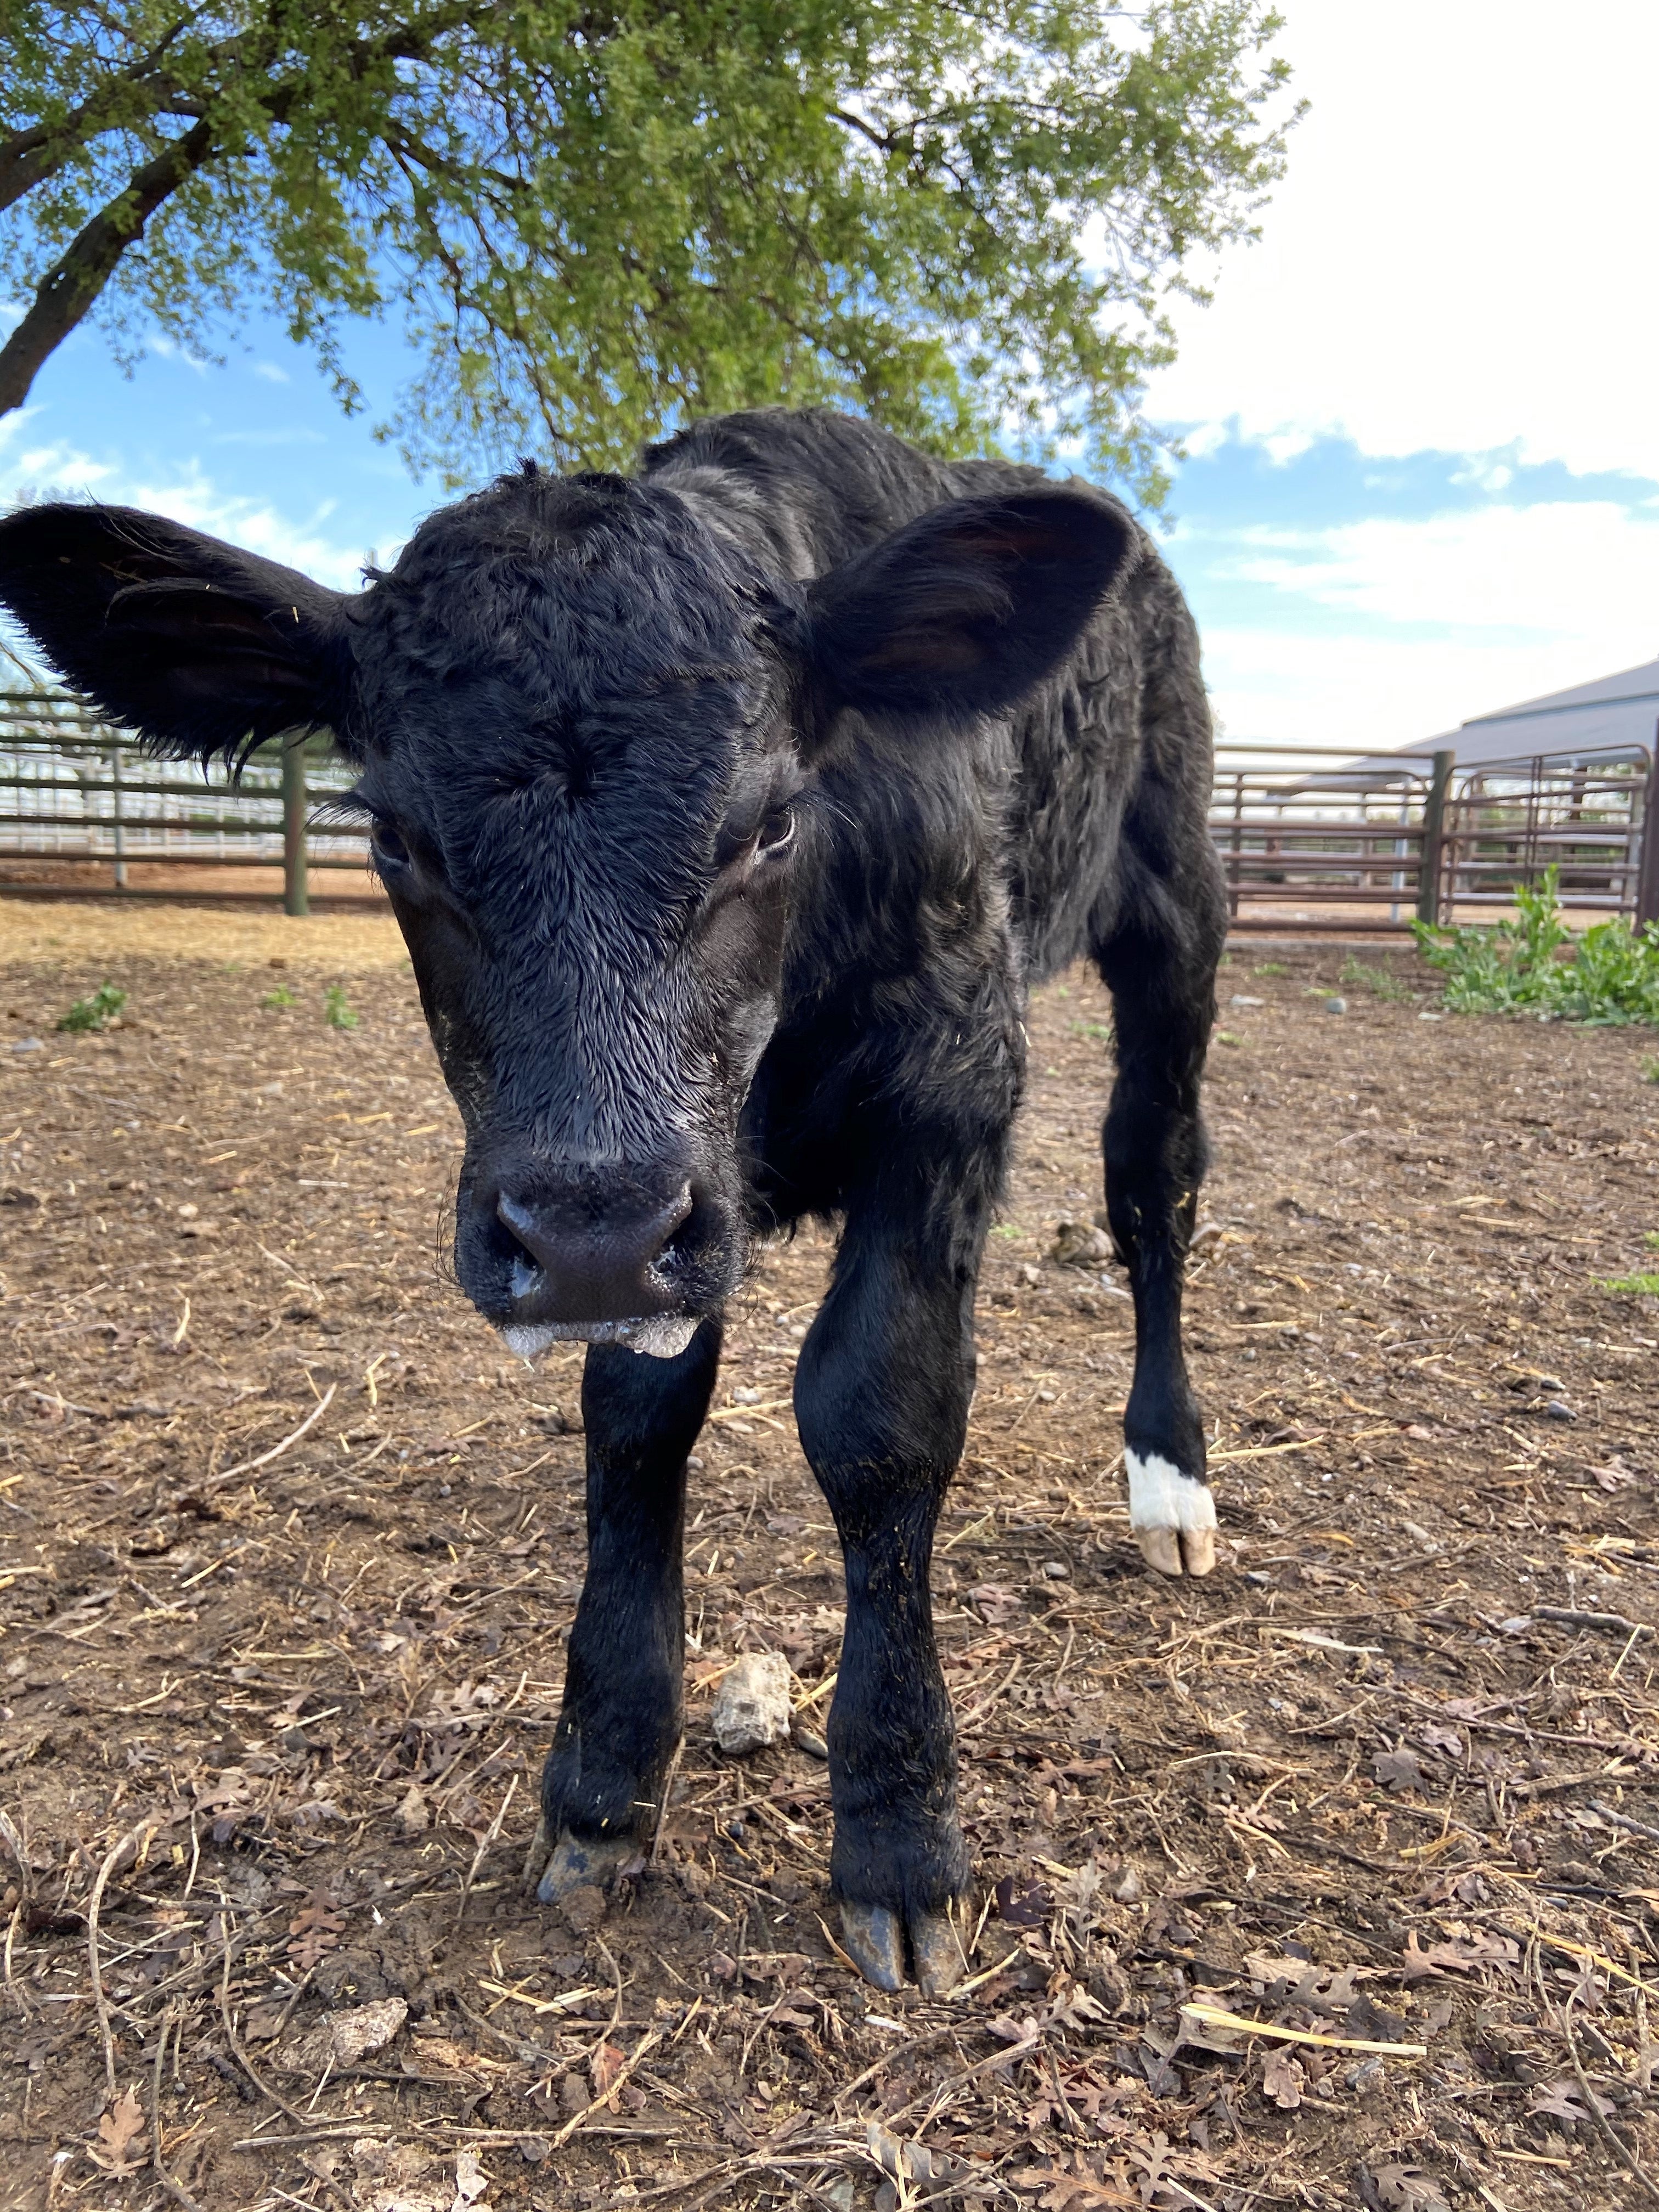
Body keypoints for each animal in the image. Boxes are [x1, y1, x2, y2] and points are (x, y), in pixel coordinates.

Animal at [0, 402, 1229, 2008]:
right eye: (393, 837)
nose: (587, 1232)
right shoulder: (652, 1210)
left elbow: (880, 1414)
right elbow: (637, 1423)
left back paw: (1173, 1481)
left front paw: (899, 1829)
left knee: (1154, 1183)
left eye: (771, 824)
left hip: (1176, 908)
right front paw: (603, 1781)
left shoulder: (955, 1076)